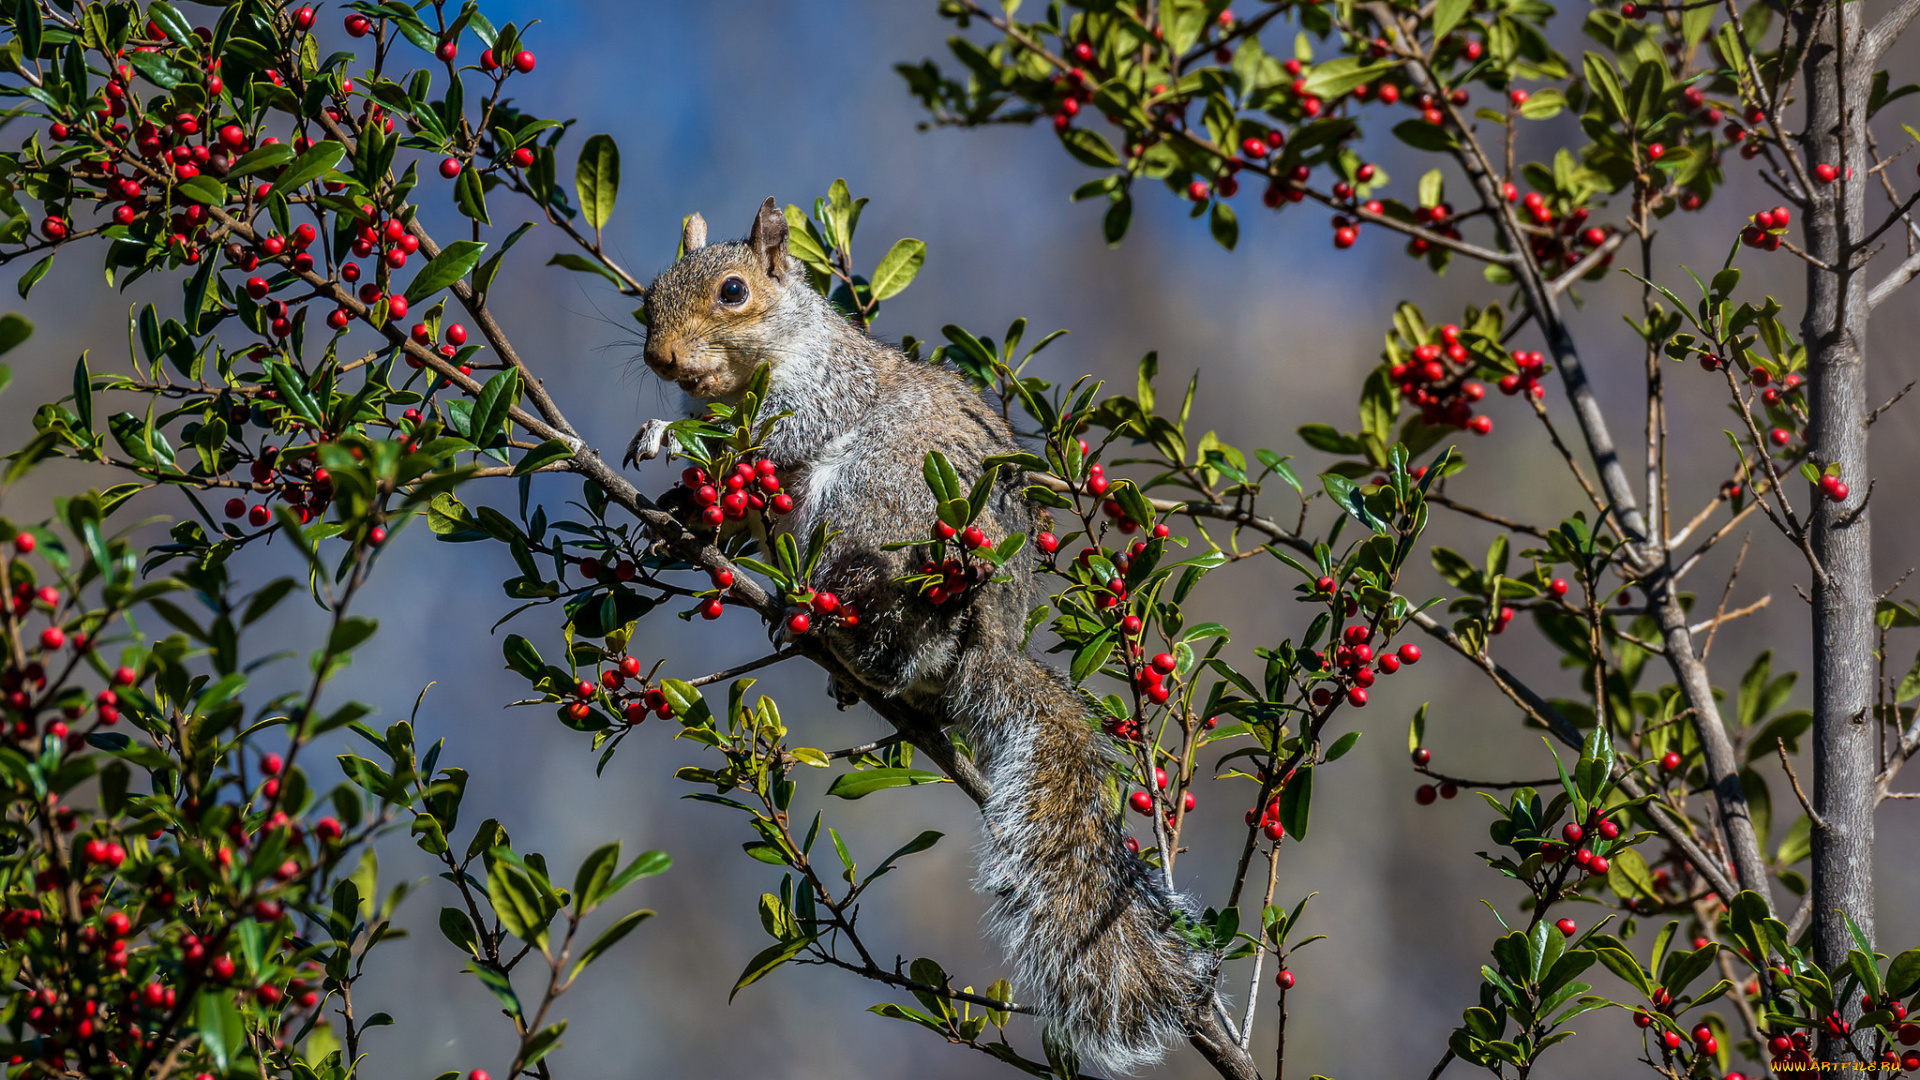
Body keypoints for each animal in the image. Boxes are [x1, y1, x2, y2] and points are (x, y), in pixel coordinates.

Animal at [637, 199, 1221, 1068]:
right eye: (646, 296)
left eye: (733, 291)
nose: (661, 357)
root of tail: (990, 646)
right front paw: (679, 513)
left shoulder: (822, 396)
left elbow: (771, 442)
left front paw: (671, 441)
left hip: (877, 500)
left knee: (896, 629)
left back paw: (838, 631)